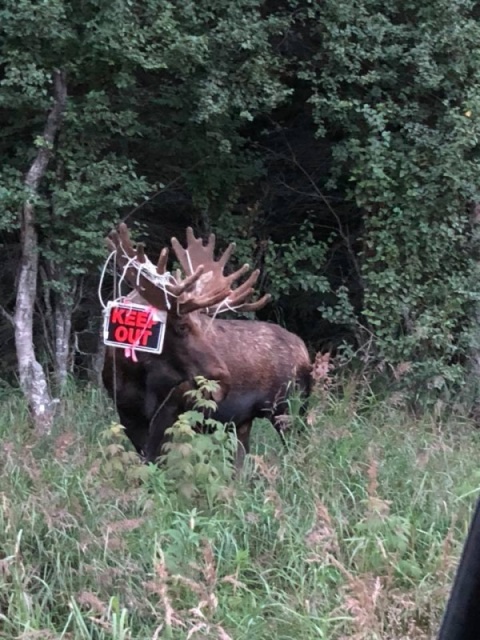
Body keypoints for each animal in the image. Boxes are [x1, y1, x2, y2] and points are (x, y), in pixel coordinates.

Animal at [101, 225, 312, 470]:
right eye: (182, 326)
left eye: (202, 322)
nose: (223, 378)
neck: (135, 374)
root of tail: (305, 350)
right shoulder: (126, 412)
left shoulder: (171, 409)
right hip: (244, 421)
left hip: (290, 409)